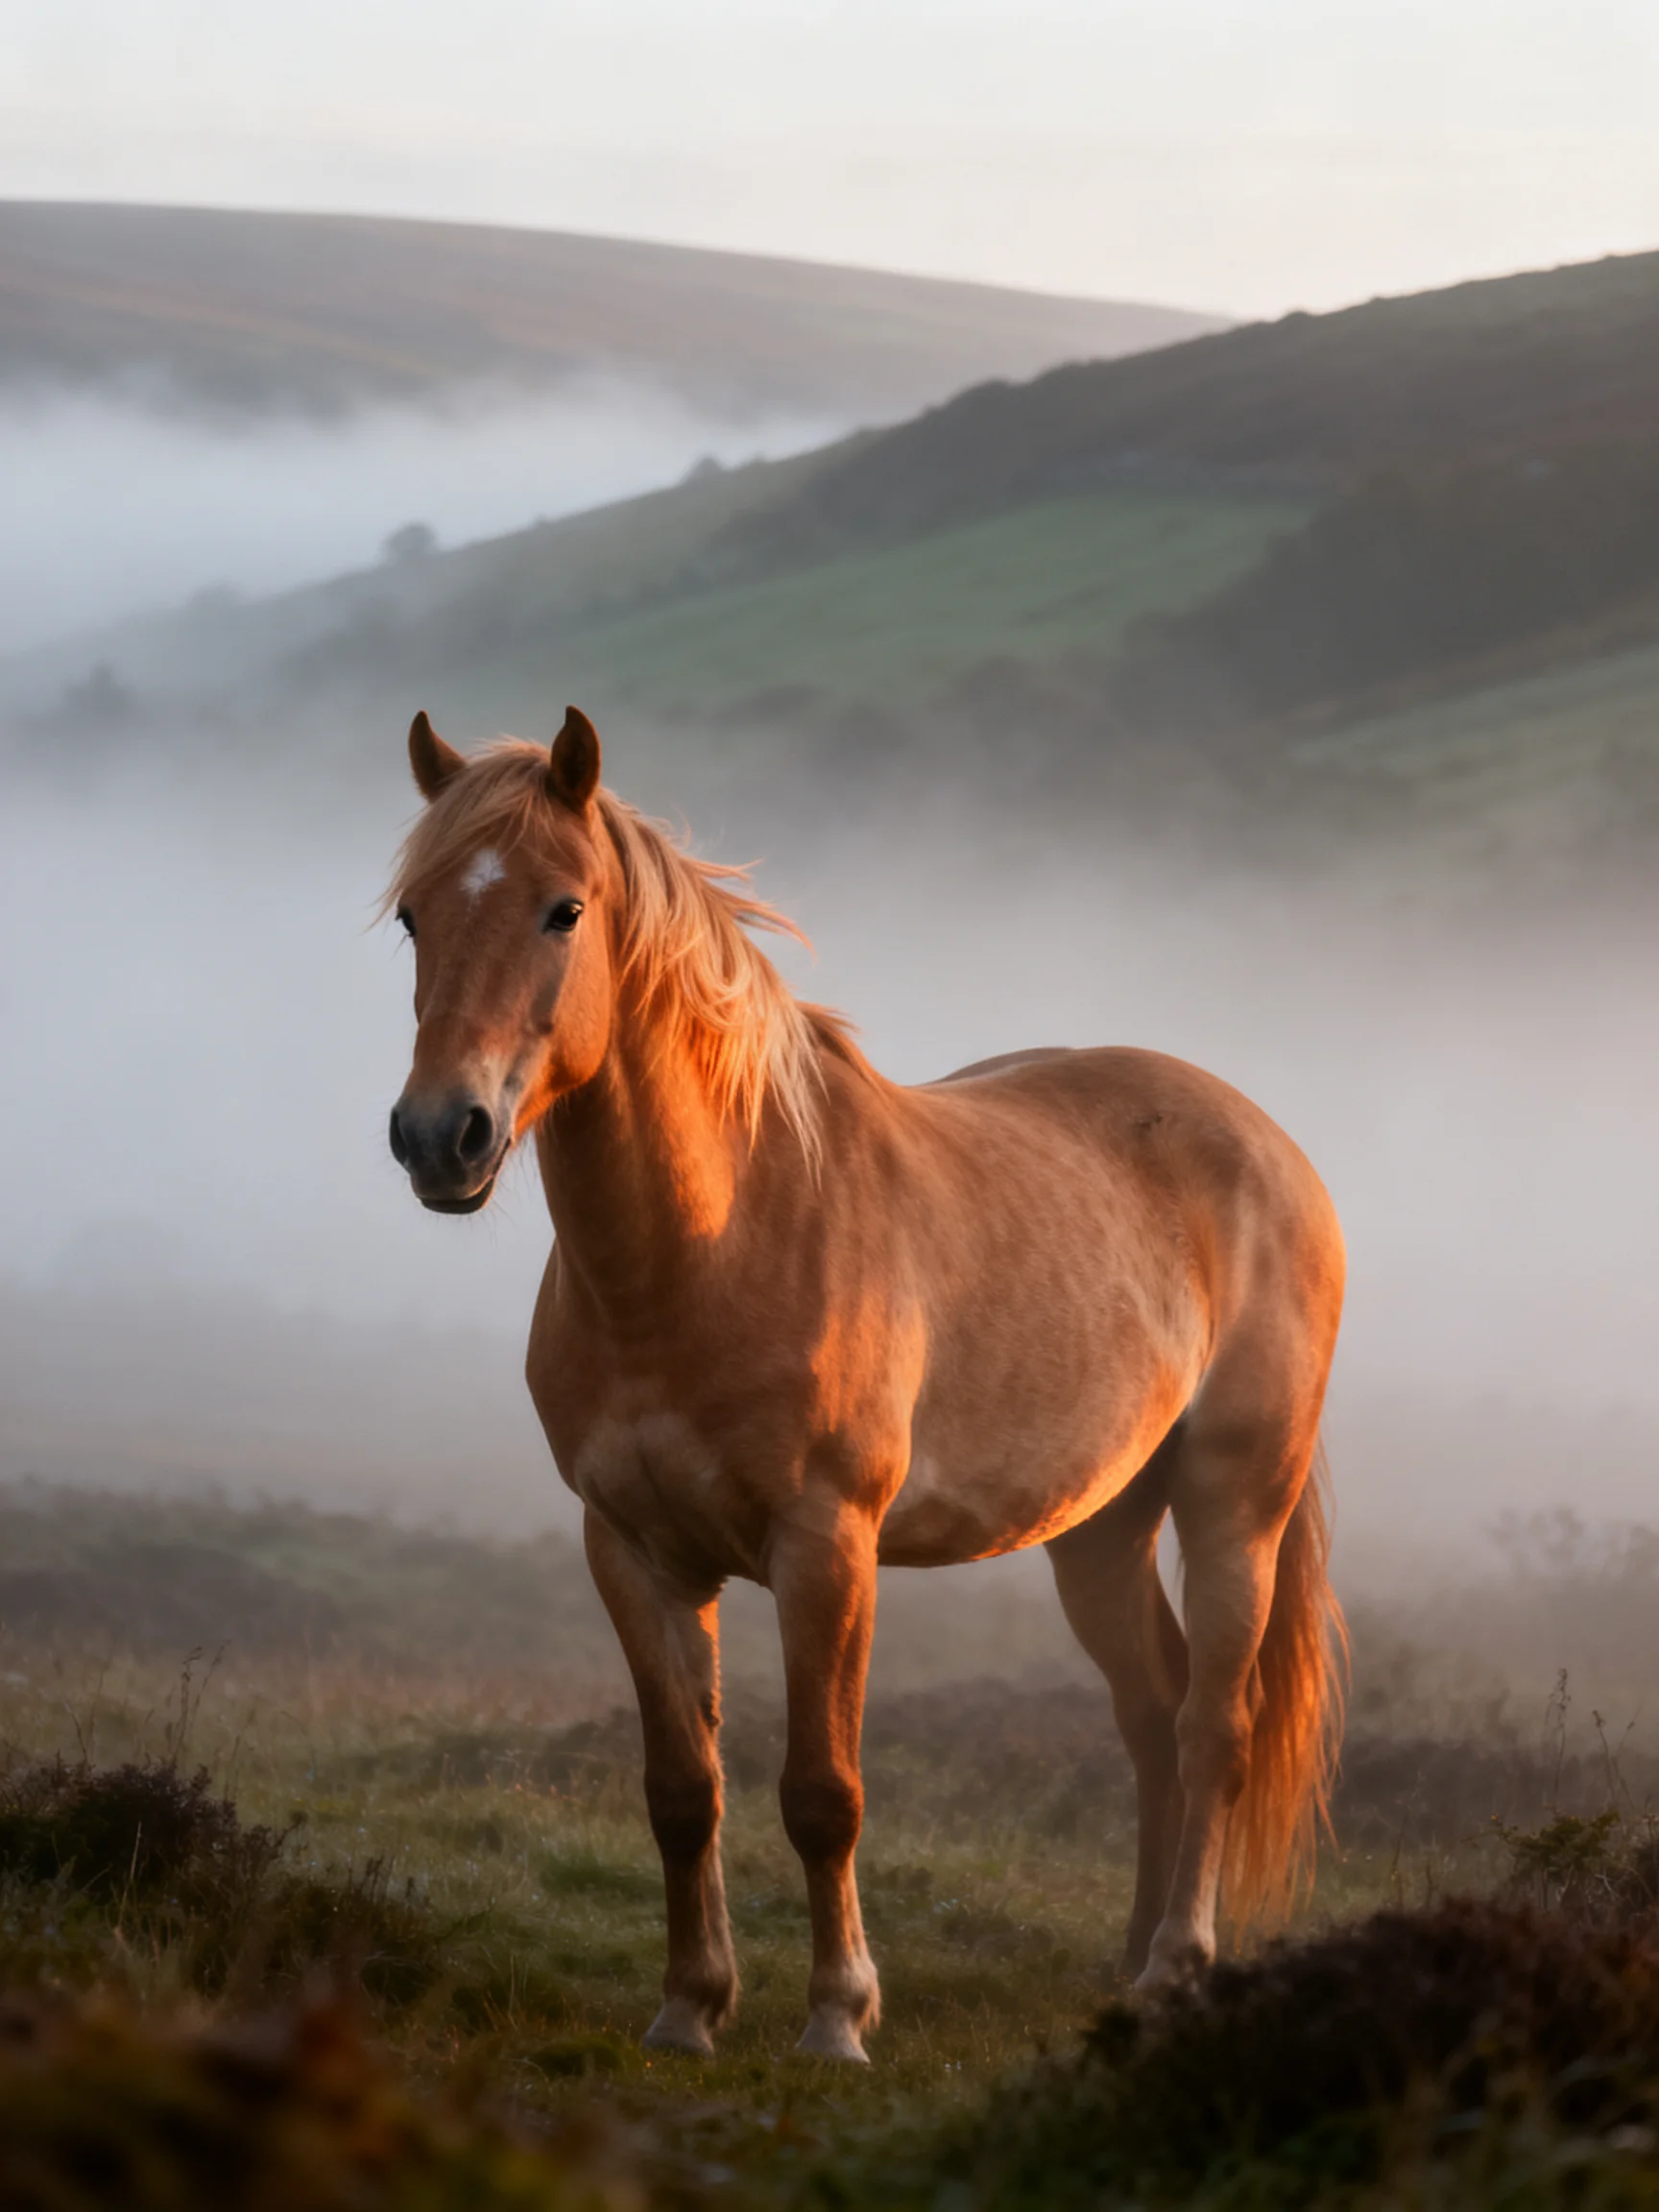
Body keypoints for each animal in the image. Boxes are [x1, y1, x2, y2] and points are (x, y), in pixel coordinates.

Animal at [384, 705, 1347, 2063]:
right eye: (414, 916)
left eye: (562, 909)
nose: (440, 1138)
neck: (712, 1245)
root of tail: (1269, 1143)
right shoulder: (631, 1551)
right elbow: (682, 1790)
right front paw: (689, 2009)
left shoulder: (825, 1546)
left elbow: (820, 1792)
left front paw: (838, 2016)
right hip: (1100, 1529)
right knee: (1151, 1714)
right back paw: (1127, 1961)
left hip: (1233, 1506)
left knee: (1215, 1725)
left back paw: (1177, 1968)